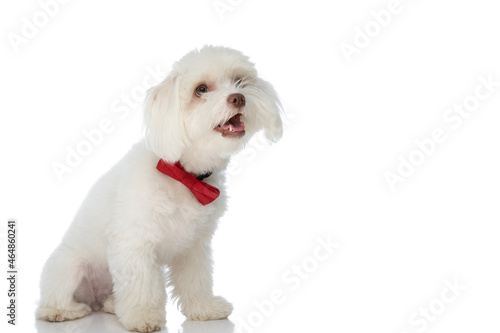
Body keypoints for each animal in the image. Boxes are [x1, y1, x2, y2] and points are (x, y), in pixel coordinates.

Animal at [37, 45, 284, 330]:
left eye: (240, 81)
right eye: (201, 89)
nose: (238, 98)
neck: (184, 175)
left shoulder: (194, 246)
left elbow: (196, 280)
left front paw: (204, 309)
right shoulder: (135, 242)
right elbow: (143, 285)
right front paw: (143, 316)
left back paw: (111, 306)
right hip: (68, 269)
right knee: (52, 301)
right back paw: (64, 311)